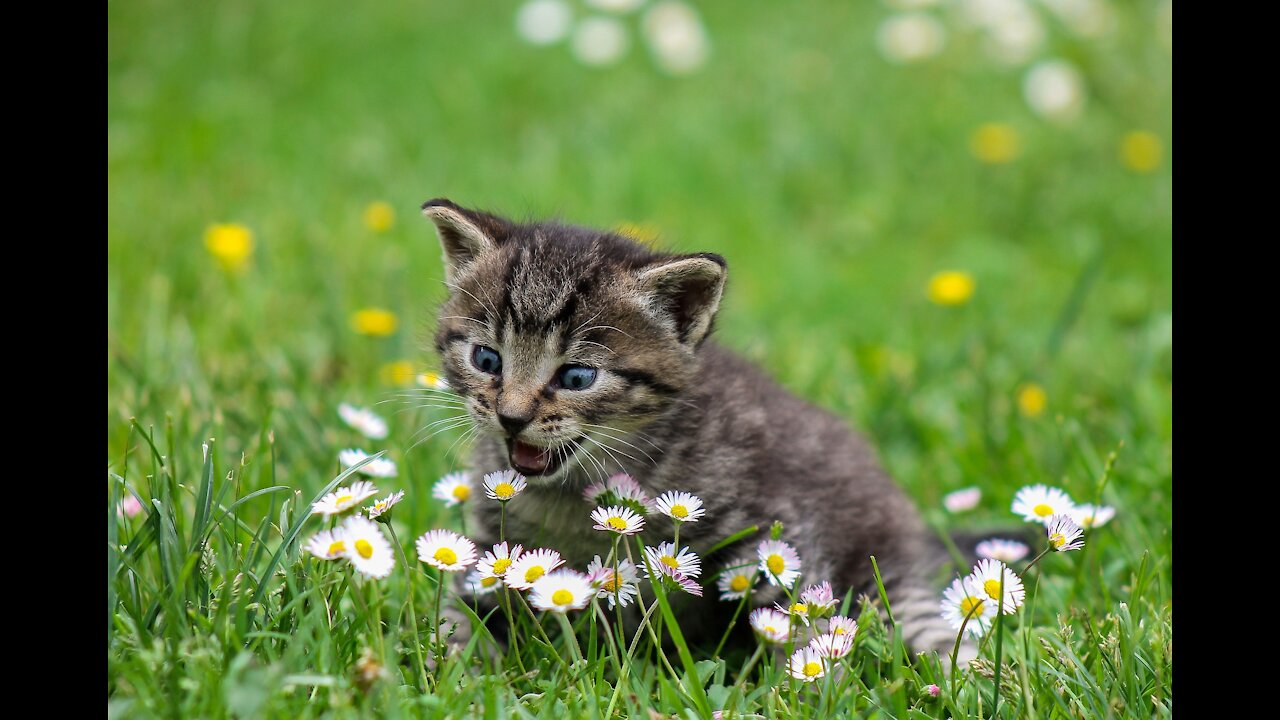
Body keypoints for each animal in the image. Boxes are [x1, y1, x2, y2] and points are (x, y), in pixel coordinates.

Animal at [419, 197, 962, 655]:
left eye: (576, 377)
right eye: (487, 359)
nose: (511, 417)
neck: (573, 494)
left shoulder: (776, 528)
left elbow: (794, 616)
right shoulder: (493, 549)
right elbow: (459, 613)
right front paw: (457, 665)